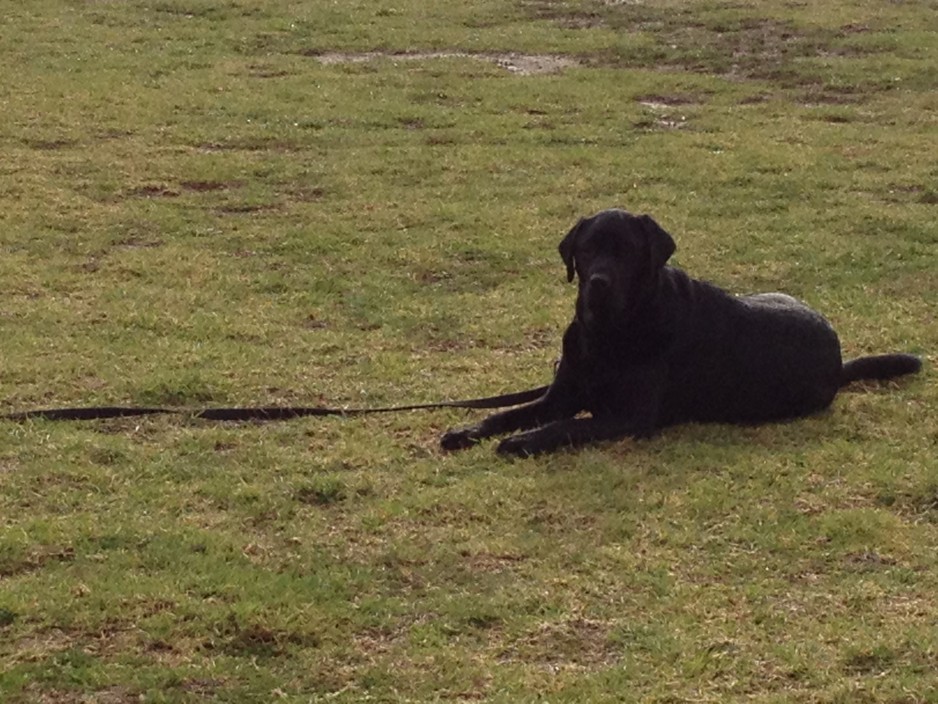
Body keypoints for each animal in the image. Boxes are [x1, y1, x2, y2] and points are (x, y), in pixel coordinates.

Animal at [440, 209, 920, 456]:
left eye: (627, 251)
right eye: (587, 248)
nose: (598, 283)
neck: (608, 334)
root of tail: (838, 359)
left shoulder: (629, 417)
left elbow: (567, 427)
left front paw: (524, 441)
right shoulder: (560, 396)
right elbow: (505, 413)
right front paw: (467, 431)